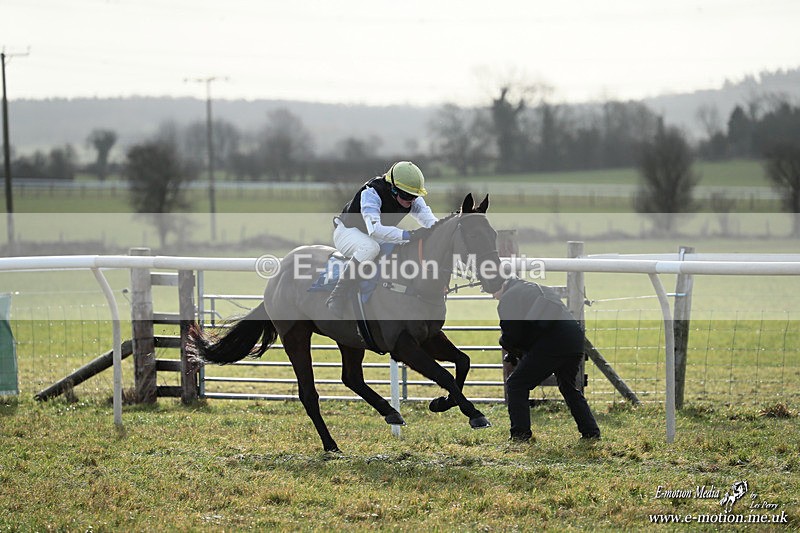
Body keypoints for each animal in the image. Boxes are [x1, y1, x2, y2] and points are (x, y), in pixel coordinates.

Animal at [188, 193, 506, 452]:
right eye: (471, 234)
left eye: (492, 234)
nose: (496, 280)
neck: (414, 281)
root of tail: (277, 277)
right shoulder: (403, 345)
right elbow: (444, 375)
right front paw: (475, 414)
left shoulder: (430, 336)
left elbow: (463, 362)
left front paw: (442, 403)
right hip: (296, 336)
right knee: (309, 393)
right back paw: (331, 444)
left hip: (349, 337)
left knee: (351, 377)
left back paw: (390, 411)